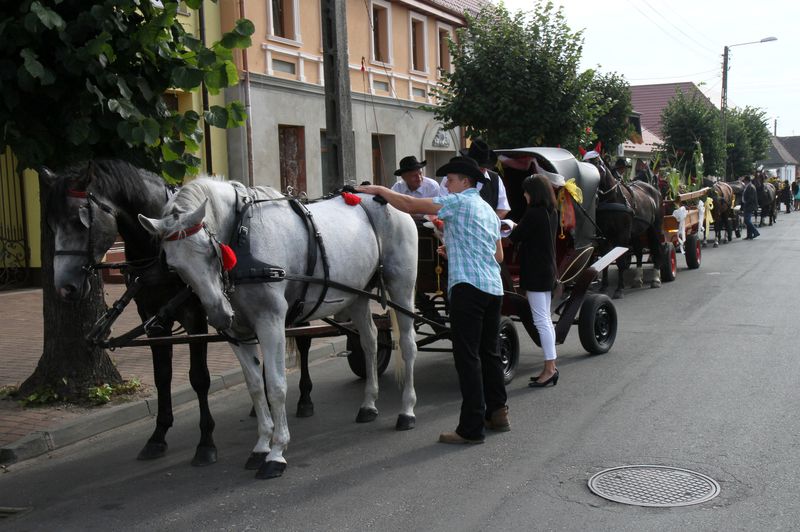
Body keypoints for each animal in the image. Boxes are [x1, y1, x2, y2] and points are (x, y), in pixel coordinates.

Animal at [139, 178, 418, 478]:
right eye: (173, 266)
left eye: (209, 250)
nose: (219, 314)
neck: (244, 237)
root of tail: (386, 195)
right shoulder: (238, 334)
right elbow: (255, 387)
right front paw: (261, 446)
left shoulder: (270, 322)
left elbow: (275, 386)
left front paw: (276, 452)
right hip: (357, 295)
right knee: (370, 341)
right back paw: (368, 404)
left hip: (401, 287)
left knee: (408, 346)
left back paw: (407, 410)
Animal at [588, 157, 664, 300]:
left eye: (597, 169)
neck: (612, 199)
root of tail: (655, 191)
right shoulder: (604, 237)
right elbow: (606, 259)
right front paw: (604, 287)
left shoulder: (622, 235)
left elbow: (621, 262)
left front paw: (619, 289)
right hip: (636, 232)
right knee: (639, 252)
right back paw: (637, 279)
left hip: (655, 228)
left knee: (657, 249)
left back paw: (656, 279)